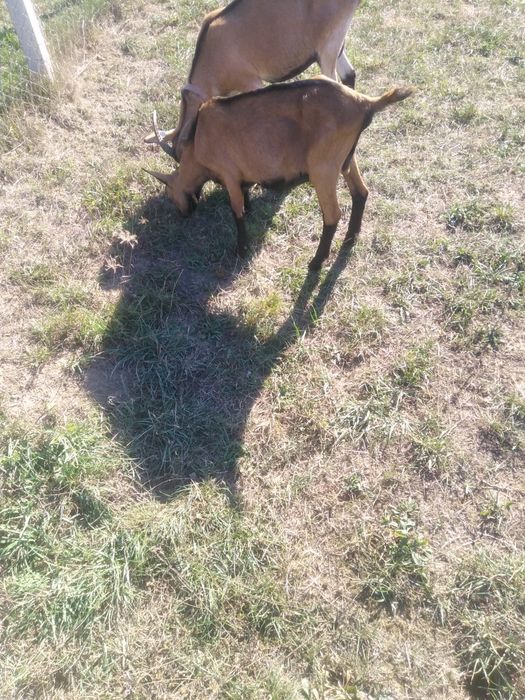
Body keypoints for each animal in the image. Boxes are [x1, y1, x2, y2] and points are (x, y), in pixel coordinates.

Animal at [145, 78, 412, 271]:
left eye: (169, 192)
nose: (183, 214)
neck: (198, 141)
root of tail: (364, 102)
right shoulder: (240, 176)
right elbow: (245, 196)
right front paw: (251, 210)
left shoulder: (228, 173)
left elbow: (236, 211)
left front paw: (240, 249)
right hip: (346, 160)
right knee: (361, 193)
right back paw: (350, 239)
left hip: (323, 168)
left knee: (333, 215)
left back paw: (316, 263)